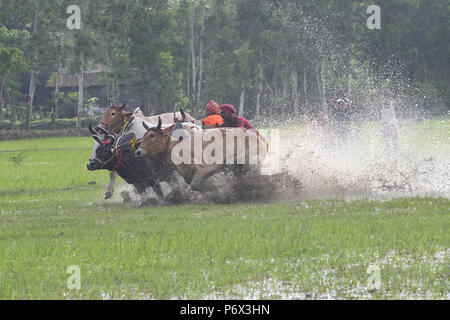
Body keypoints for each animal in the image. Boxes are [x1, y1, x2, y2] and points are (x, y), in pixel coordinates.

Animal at [134, 118, 268, 191]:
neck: (178, 144)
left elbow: (195, 184)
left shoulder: (206, 168)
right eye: (144, 135)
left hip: (251, 164)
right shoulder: (188, 174)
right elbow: (195, 184)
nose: (137, 152)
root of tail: (259, 139)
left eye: (152, 135)